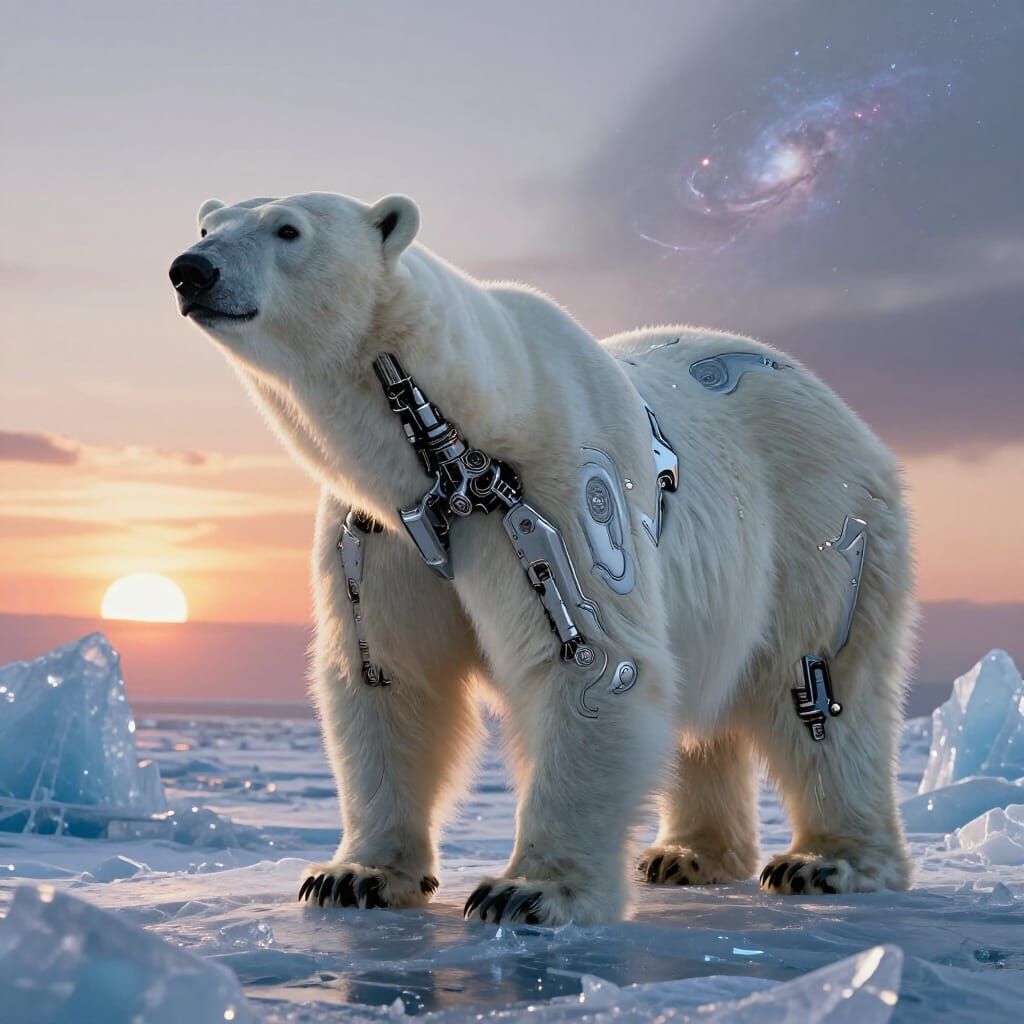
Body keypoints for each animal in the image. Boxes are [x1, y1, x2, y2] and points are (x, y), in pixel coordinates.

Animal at [169, 191, 914, 925]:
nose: (190, 271)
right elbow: (391, 675)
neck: (458, 441)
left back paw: (828, 861)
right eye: (207, 225)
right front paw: (354, 875)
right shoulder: (384, 531)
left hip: (821, 523)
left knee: (817, 684)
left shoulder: (554, 493)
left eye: (287, 229)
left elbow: (594, 662)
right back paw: (687, 855)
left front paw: (527, 891)